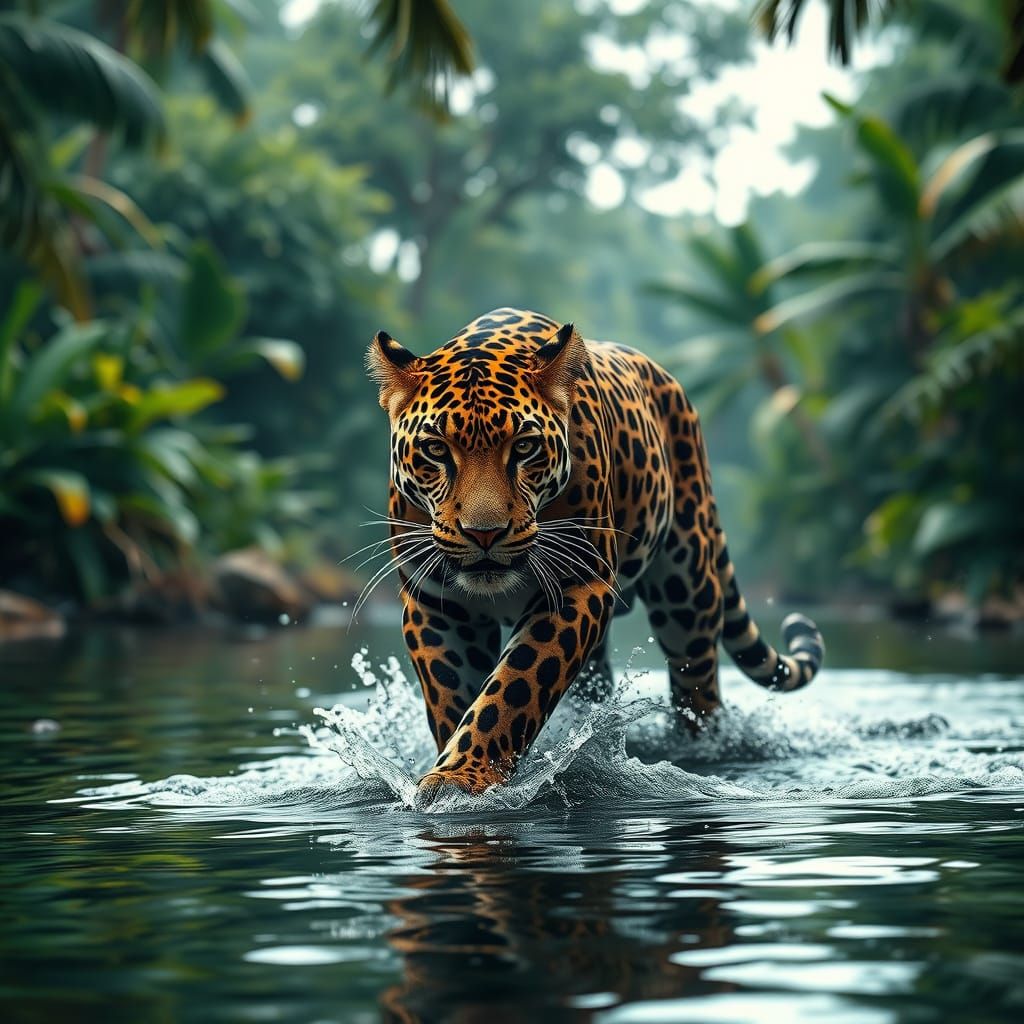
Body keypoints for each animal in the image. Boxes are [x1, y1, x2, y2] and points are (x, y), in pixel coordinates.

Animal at [365, 307, 824, 803]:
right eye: (435, 450)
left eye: (524, 447)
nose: (483, 534)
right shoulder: (436, 603)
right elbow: (456, 694)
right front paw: (458, 774)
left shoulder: (576, 585)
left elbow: (512, 691)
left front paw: (459, 778)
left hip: (688, 593)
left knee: (699, 692)